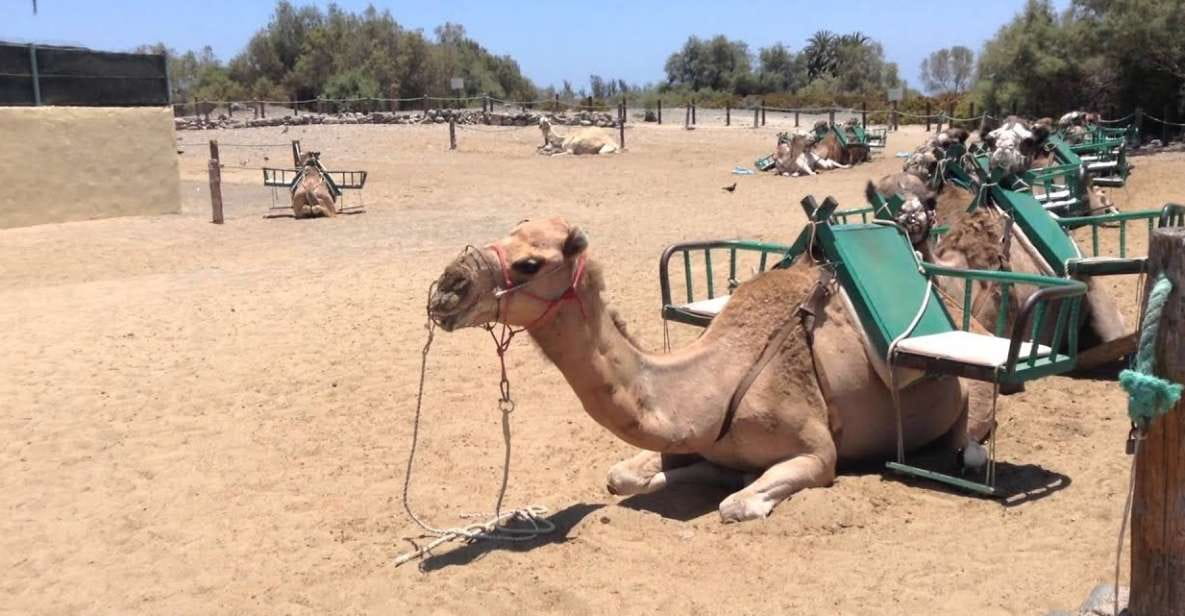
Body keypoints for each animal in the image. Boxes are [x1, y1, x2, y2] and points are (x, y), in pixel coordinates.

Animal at [427, 218, 990, 522]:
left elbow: (736, 505)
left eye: (530, 263)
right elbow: (620, 476)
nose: (446, 290)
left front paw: (734, 487)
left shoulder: (817, 451)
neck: (717, 383)